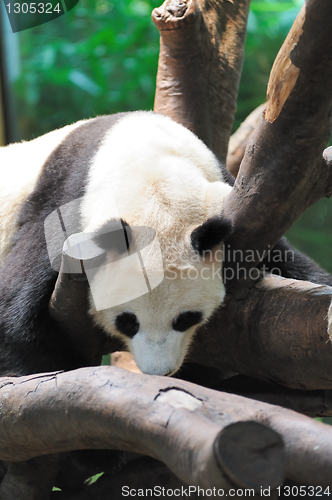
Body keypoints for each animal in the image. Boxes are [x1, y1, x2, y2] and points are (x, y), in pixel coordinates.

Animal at [0, 111, 332, 378]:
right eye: (127, 322)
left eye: (186, 319)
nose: (159, 371)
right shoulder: (63, 207)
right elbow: (13, 308)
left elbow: (289, 261)